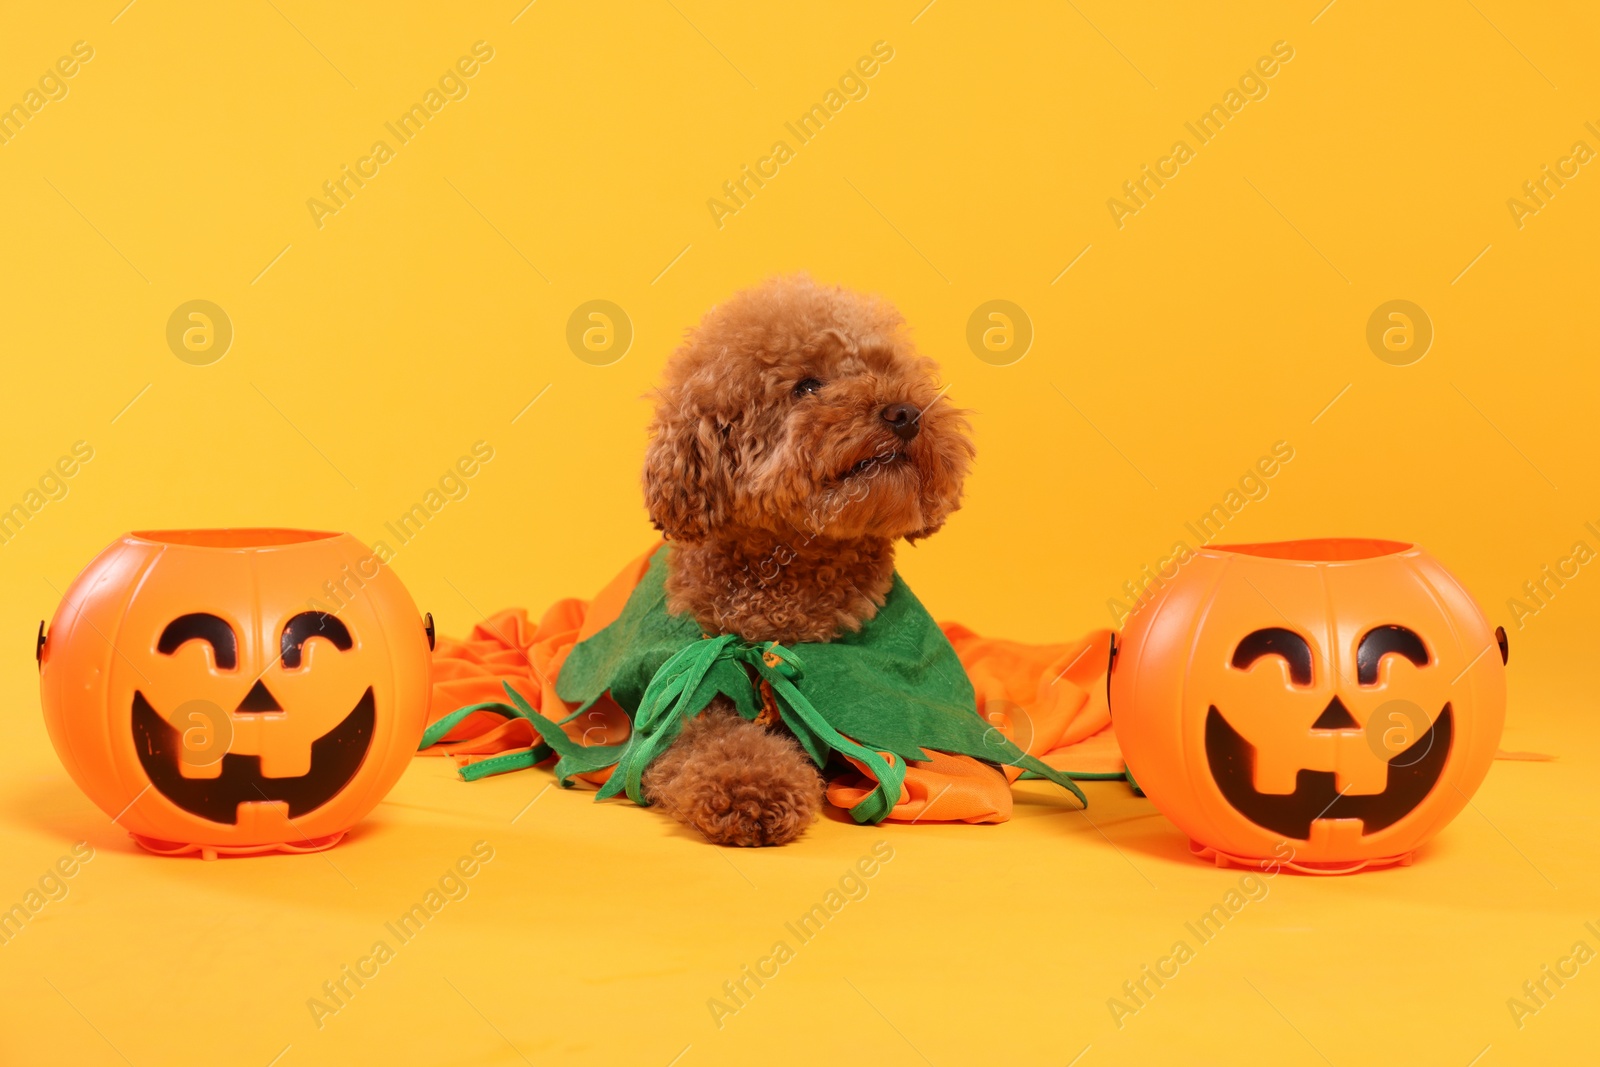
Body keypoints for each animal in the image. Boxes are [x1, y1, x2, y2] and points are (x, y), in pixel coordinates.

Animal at [636, 278, 972, 851]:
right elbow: (707, 741)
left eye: (888, 370)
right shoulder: (703, 688)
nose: (906, 412)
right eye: (808, 386)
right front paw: (751, 789)